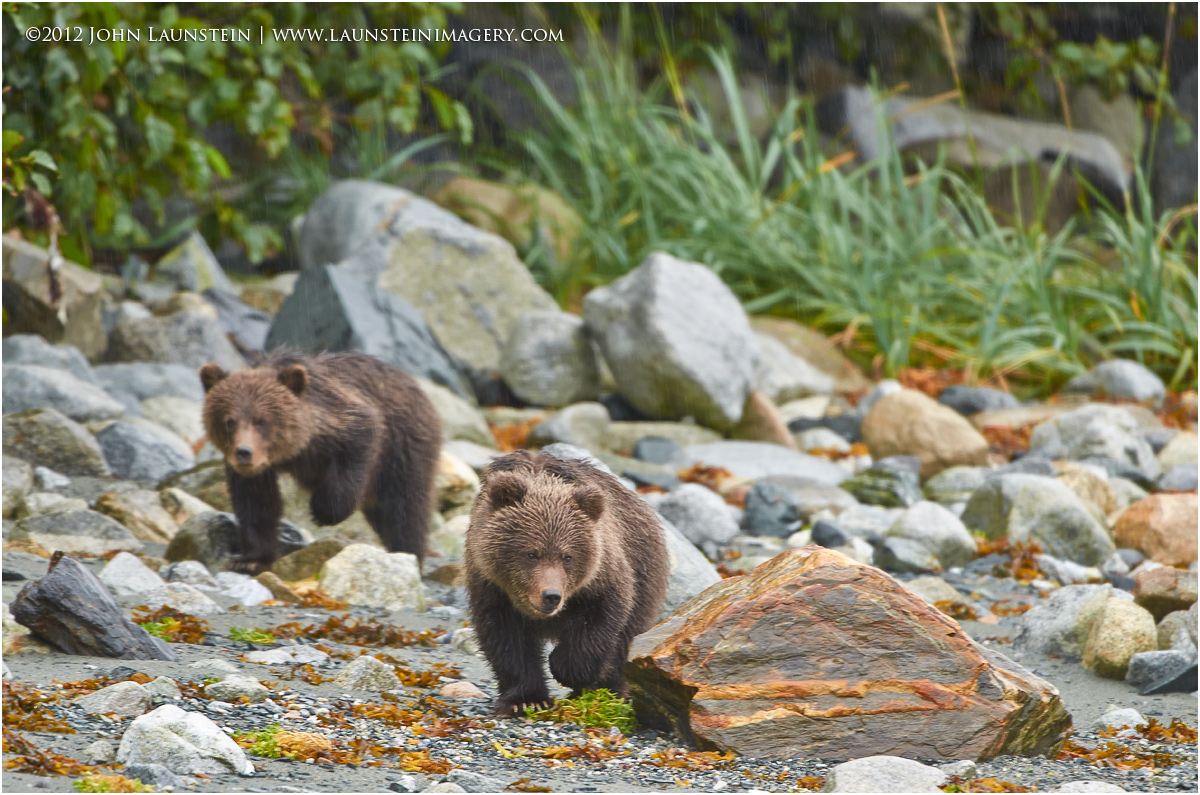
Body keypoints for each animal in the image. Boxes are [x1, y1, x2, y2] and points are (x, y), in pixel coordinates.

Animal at [199, 349, 441, 574]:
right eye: (229, 421)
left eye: (262, 420)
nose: (244, 452)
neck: (299, 447)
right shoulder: (256, 471)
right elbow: (256, 504)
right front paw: (249, 561)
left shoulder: (346, 422)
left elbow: (355, 453)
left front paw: (322, 512)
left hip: (404, 450)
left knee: (404, 509)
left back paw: (409, 555)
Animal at [464, 450, 668, 716]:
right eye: (531, 553)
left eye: (567, 557)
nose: (551, 595)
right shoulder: (491, 587)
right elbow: (506, 641)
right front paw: (526, 700)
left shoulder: (602, 577)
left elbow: (600, 624)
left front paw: (568, 670)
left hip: (645, 571)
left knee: (626, 640)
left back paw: (609, 693)